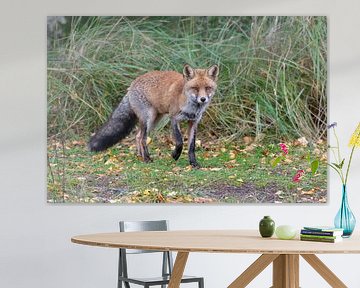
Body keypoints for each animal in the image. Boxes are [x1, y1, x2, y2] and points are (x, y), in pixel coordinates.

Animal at [90, 63, 219, 166]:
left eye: (208, 88)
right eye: (195, 88)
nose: (203, 99)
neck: (190, 106)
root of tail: (132, 84)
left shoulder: (193, 122)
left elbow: (192, 146)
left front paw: (193, 163)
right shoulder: (174, 118)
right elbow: (179, 141)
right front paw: (175, 155)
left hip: (156, 121)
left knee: (137, 136)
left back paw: (141, 156)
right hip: (149, 117)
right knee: (142, 138)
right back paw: (147, 159)